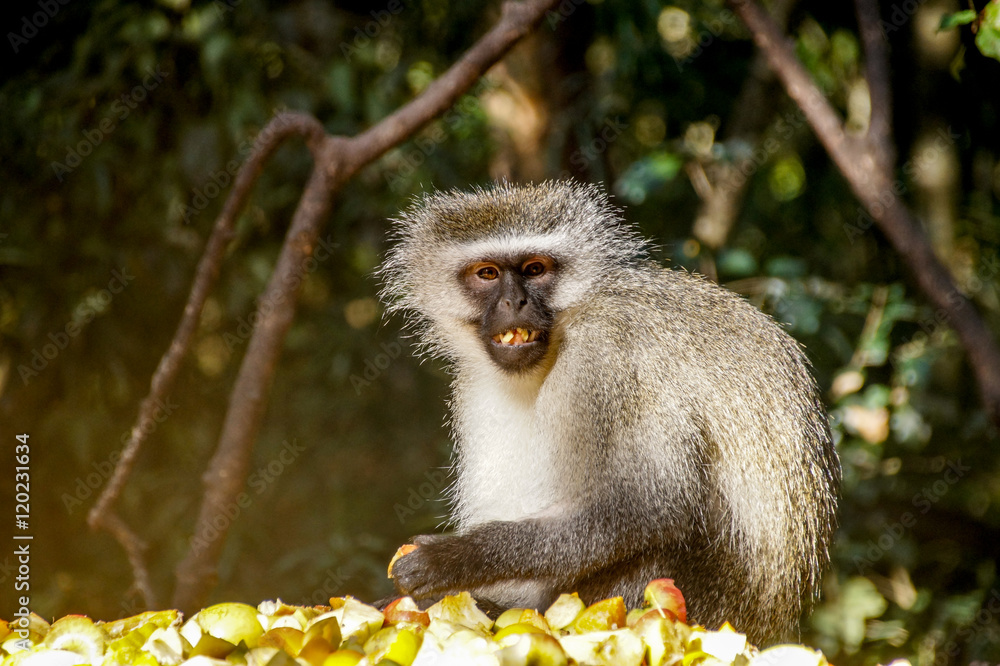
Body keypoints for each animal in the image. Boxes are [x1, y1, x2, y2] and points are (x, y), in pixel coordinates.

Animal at [377, 180, 840, 645]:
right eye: (487, 273)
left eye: (535, 269)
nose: (515, 301)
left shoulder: (603, 358)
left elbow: (651, 505)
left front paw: (451, 559)